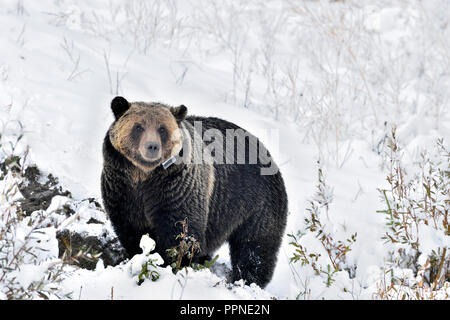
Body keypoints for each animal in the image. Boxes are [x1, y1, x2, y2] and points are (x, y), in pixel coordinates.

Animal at [100, 95, 286, 288]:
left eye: (162, 129)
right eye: (138, 127)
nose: (152, 146)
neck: (143, 176)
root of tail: (267, 152)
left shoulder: (176, 190)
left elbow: (181, 234)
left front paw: (172, 265)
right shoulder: (123, 190)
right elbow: (131, 231)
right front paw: (139, 256)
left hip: (254, 205)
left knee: (254, 248)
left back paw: (247, 280)